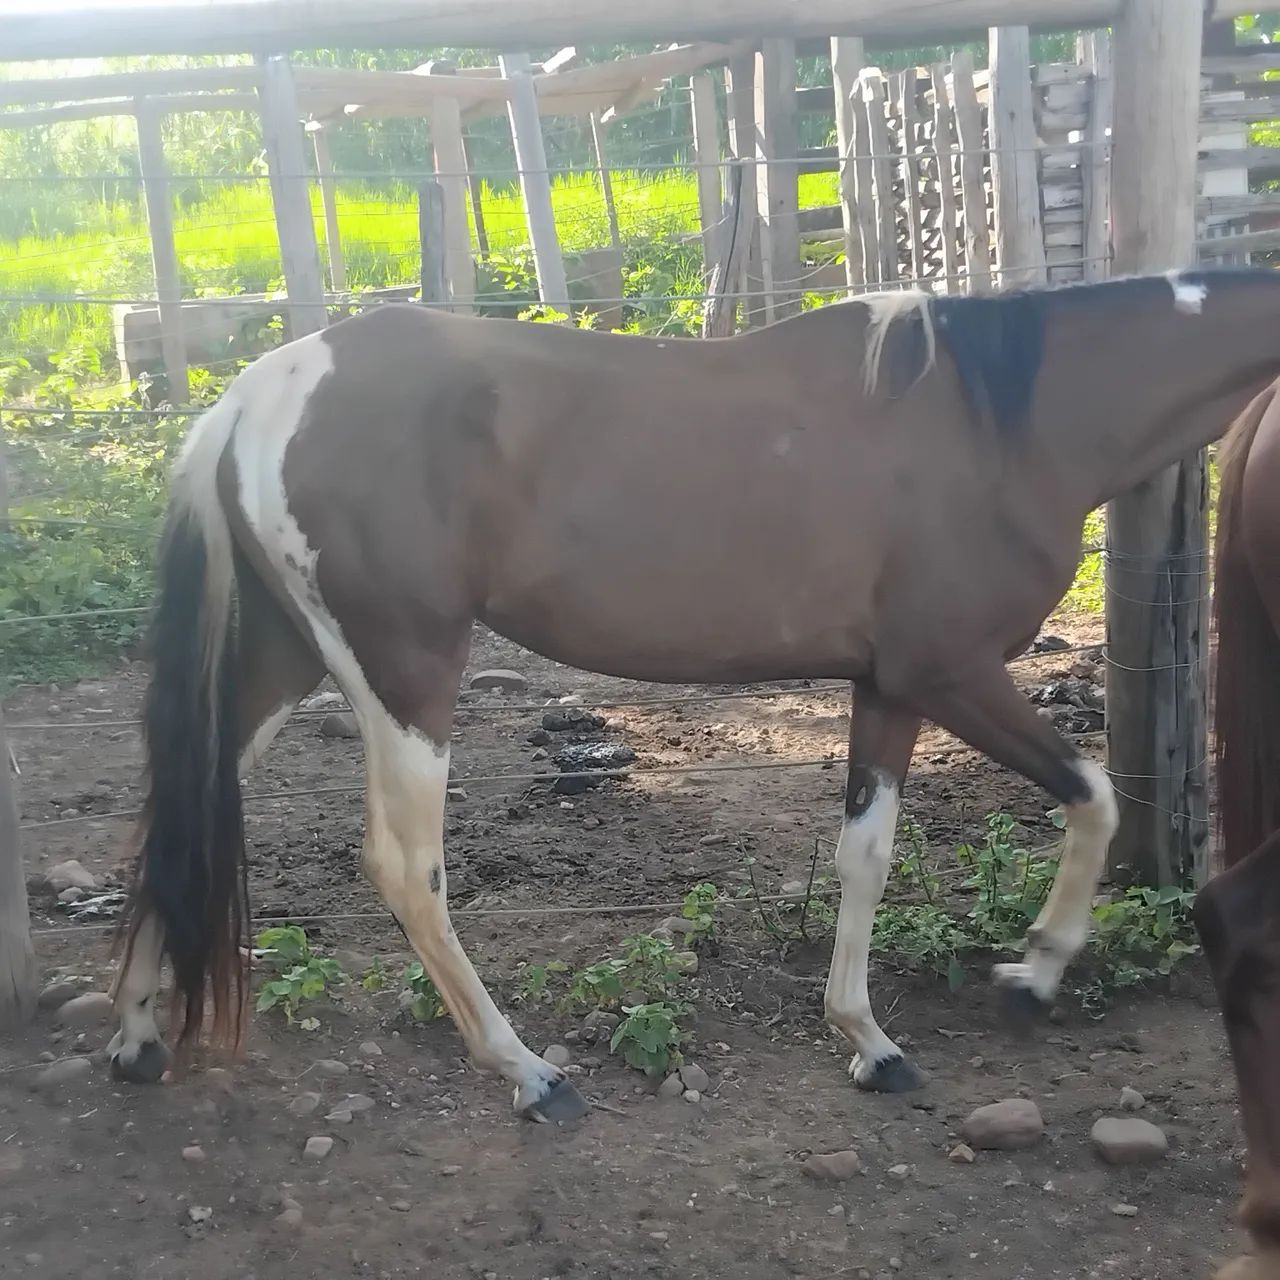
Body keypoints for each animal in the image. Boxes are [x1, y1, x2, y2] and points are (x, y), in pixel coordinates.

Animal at [110, 264, 1280, 1125]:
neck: (1005, 423)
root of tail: (252, 397)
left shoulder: (888, 685)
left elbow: (865, 854)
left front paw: (869, 1041)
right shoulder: (951, 670)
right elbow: (1095, 795)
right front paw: (1031, 975)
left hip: (282, 662)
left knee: (180, 810)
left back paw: (136, 1034)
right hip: (405, 673)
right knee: (407, 871)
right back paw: (528, 1070)